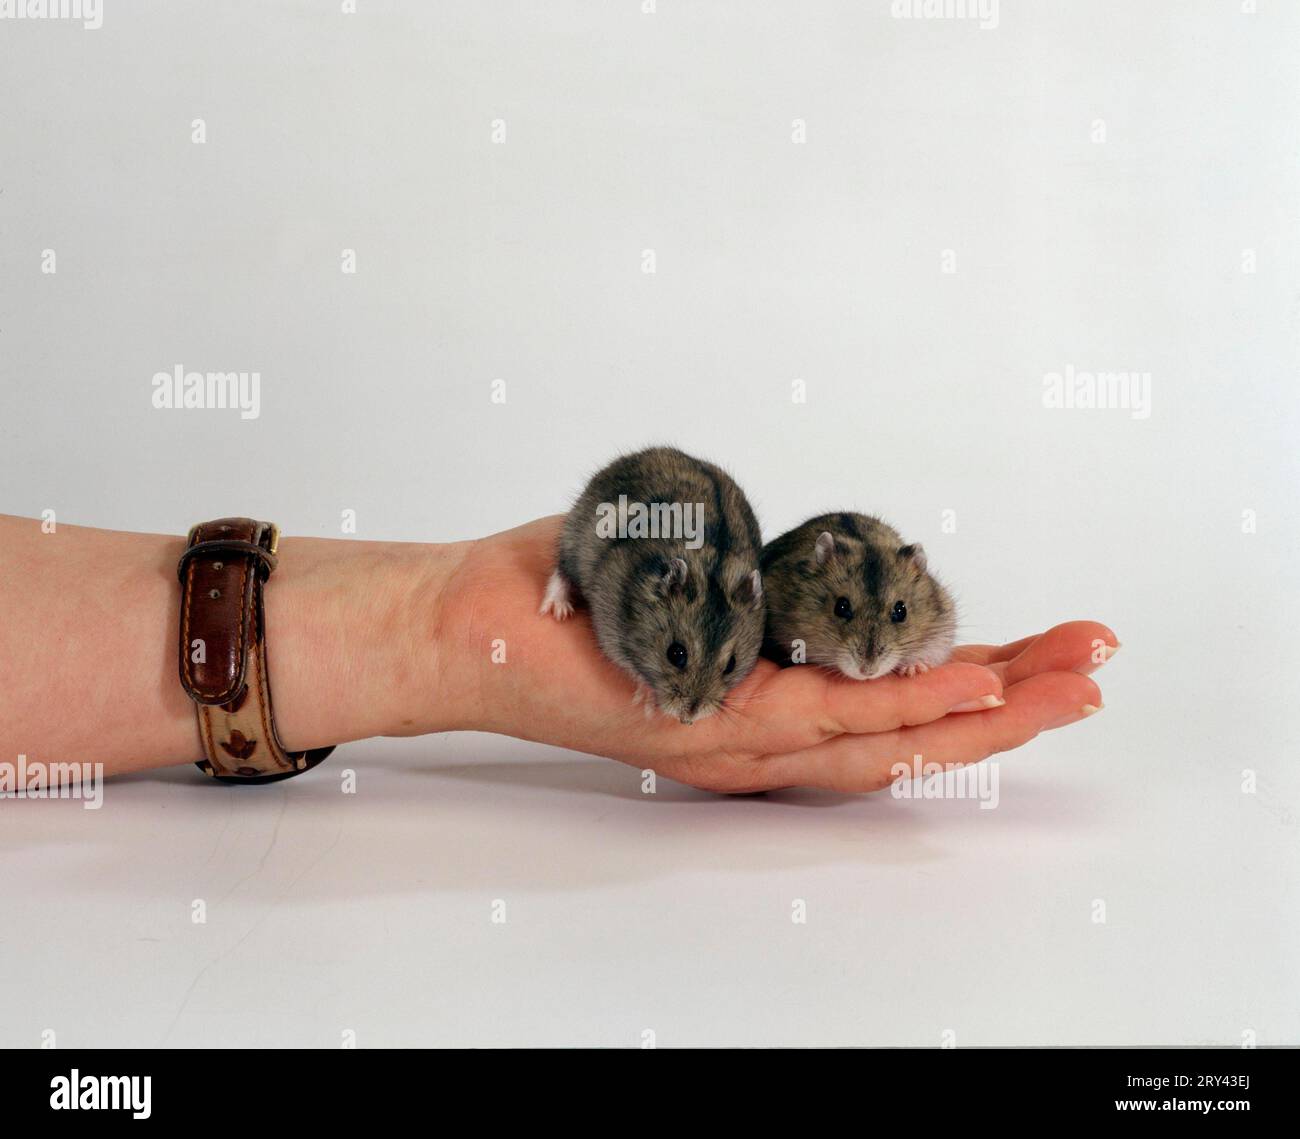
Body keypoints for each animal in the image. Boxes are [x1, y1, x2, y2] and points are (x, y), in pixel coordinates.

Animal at [541, 446, 765, 724]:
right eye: (676, 654)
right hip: (574, 538)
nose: (688, 719)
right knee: (561, 570)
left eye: (732, 664)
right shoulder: (610, 629)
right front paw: (647, 702)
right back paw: (556, 610)